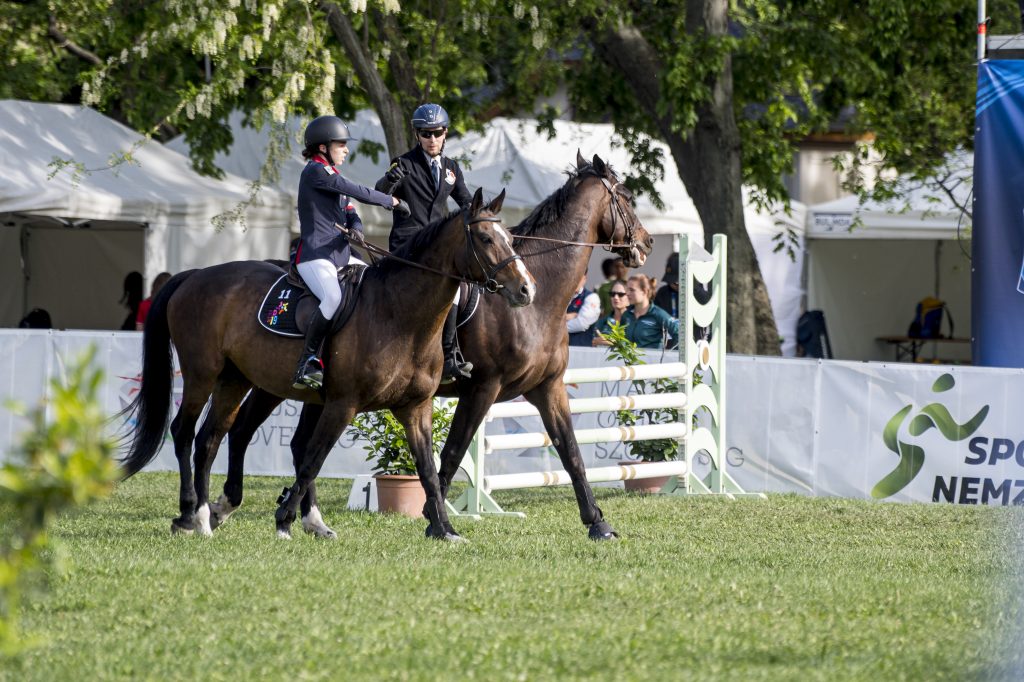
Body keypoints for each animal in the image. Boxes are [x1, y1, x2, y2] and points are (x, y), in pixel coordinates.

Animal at [203, 152, 655, 536]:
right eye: (627, 197)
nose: (647, 244)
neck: (538, 302)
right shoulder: (482, 388)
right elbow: (452, 453)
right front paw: (432, 514)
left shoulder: (548, 386)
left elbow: (572, 453)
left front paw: (598, 523)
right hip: (270, 381)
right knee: (243, 431)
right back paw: (226, 506)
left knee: (289, 442)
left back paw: (296, 516)